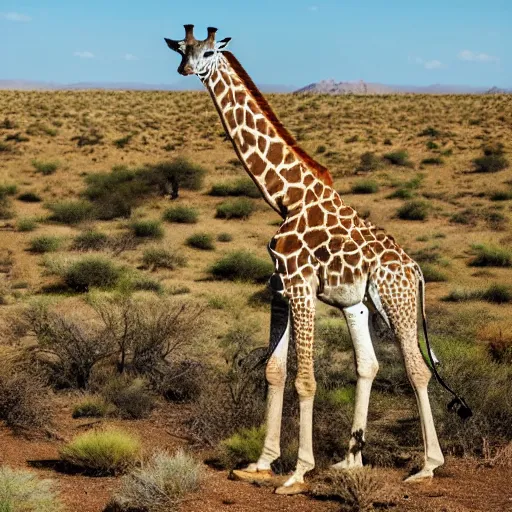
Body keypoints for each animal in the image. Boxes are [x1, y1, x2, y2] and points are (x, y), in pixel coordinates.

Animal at [165, 25, 472, 496]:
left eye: (210, 52)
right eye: (182, 49)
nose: (186, 69)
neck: (286, 197)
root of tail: (417, 271)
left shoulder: (302, 284)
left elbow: (305, 380)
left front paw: (296, 473)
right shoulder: (281, 287)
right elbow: (273, 371)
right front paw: (259, 464)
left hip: (397, 301)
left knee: (417, 370)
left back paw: (426, 466)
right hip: (360, 304)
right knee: (370, 364)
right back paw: (350, 460)